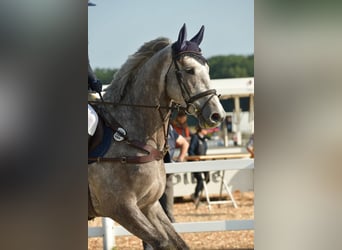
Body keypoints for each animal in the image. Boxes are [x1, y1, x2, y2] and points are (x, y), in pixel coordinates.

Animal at [89, 23, 226, 250]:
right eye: (189, 70)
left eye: (207, 69)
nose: (217, 115)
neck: (128, 135)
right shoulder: (121, 208)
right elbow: (162, 242)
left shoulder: (149, 205)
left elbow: (179, 242)